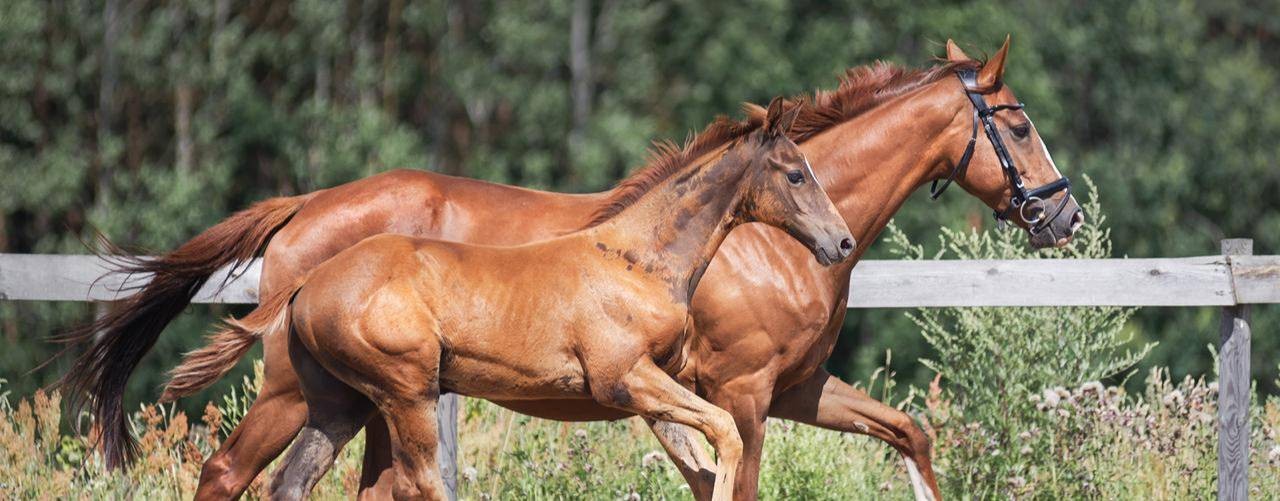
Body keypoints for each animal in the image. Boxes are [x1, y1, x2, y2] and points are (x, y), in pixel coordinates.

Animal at [58, 37, 1080, 501]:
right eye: (1020, 122)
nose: (1064, 213)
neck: (762, 243)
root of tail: (307, 209)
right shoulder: (742, 391)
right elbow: (736, 476)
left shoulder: (792, 388)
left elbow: (908, 430)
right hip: (317, 388)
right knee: (232, 471)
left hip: (353, 399)